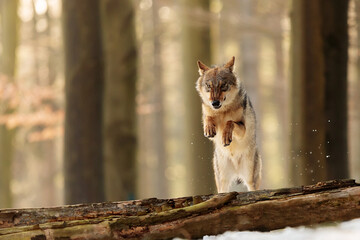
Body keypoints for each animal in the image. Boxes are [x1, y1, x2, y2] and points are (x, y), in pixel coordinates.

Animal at [197, 56, 262, 193]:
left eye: (223, 86)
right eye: (209, 86)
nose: (215, 103)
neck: (222, 111)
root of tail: (236, 170)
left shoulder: (243, 129)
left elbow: (230, 122)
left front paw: (226, 136)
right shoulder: (208, 114)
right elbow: (208, 118)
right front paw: (209, 128)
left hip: (250, 180)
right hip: (223, 182)